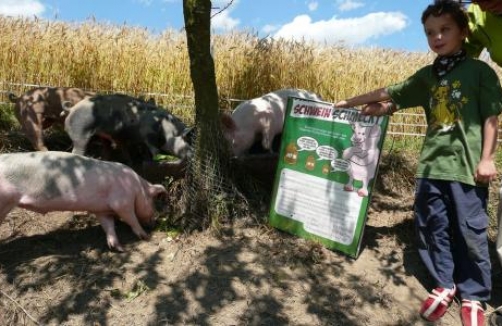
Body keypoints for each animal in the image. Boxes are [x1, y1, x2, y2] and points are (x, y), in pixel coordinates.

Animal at [0, 151, 167, 252]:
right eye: (153, 202)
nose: (154, 224)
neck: (137, 187)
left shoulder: (102, 210)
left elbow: (108, 226)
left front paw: (118, 248)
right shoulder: (121, 203)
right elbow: (132, 219)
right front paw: (145, 236)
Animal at [63, 93, 193, 164]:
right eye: (187, 141)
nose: (192, 155)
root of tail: (72, 108)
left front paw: (137, 161)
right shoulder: (147, 132)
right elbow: (154, 149)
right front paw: (158, 159)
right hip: (80, 132)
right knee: (77, 151)